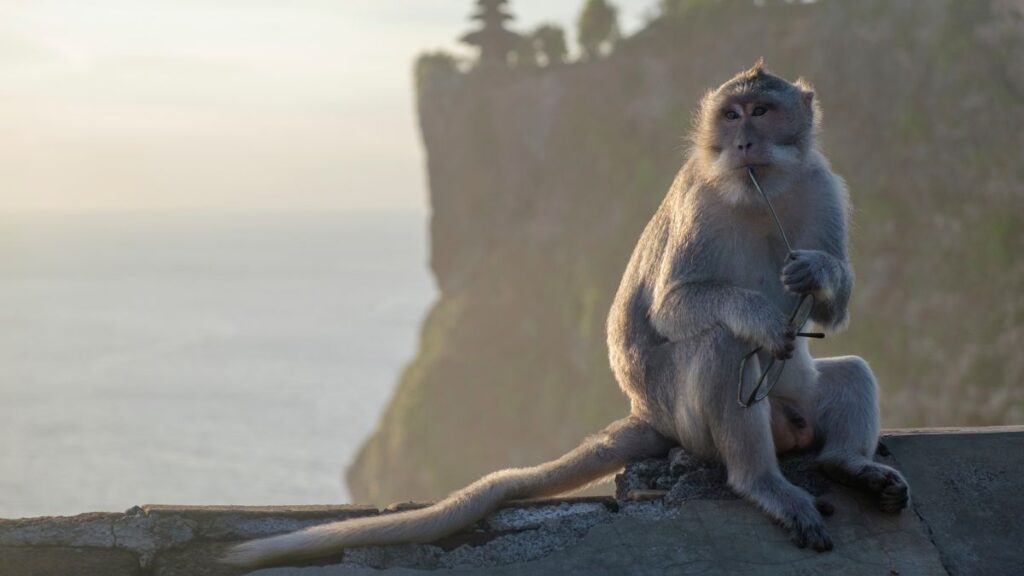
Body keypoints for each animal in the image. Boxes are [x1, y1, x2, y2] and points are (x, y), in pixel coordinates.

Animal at [223, 61, 909, 567]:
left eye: (762, 112)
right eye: (731, 114)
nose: (741, 140)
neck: (756, 191)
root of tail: (645, 413)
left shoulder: (823, 185)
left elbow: (834, 304)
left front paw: (816, 275)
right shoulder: (700, 200)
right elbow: (676, 305)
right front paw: (763, 317)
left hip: (791, 405)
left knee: (849, 373)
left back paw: (846, 464)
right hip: (686, 416)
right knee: (721, 347)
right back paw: (761, 482)